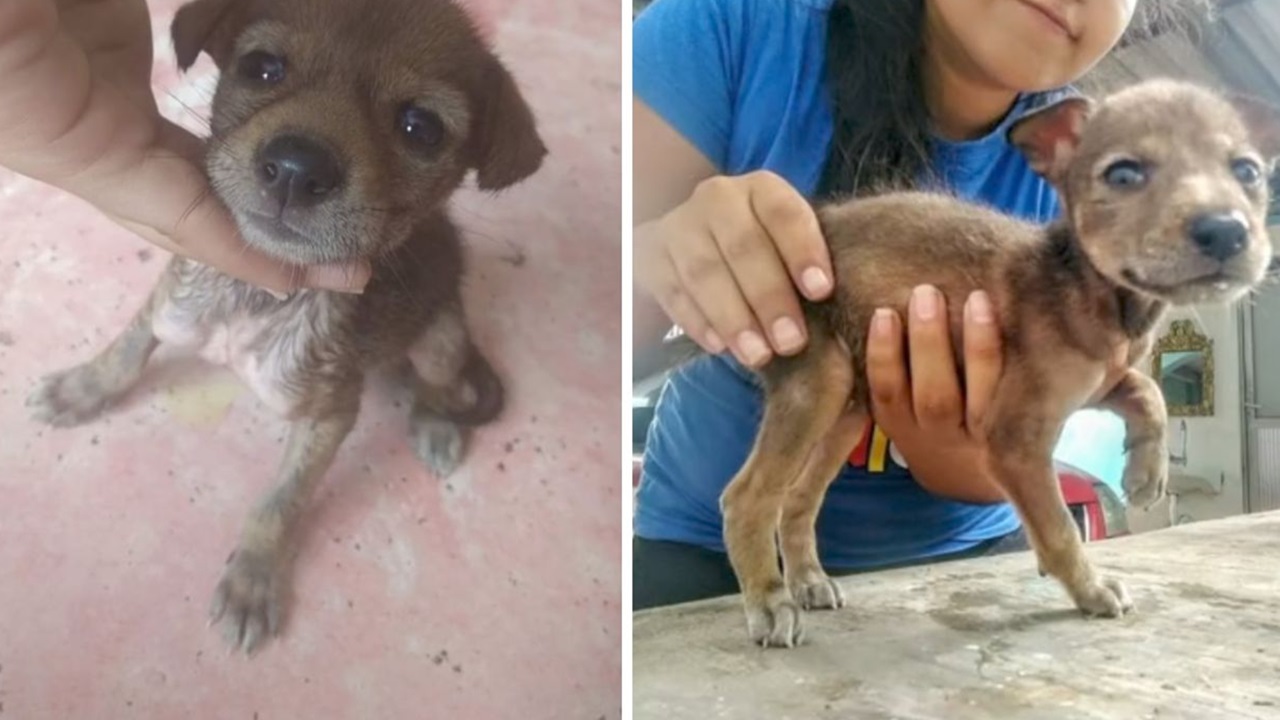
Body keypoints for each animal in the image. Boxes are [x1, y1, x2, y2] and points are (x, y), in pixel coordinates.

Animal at [26, 0, 545, 653]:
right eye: (262, 68)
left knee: (440, 381)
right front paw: (81, 389)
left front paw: (253, 577)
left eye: (421, 127)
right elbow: (126, 350)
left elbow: (281, 500)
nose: (298, 169)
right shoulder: (170, 300)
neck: (257, 296)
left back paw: (435, 423)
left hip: (441, 337)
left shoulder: (329, 414)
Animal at [721, 78, 1280, 645]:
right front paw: (1091, 589)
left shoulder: (1098, 378)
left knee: (796, 498)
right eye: (1123, 174)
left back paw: (809, 581)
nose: (1226, 231)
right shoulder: (1017, 438)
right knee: (746, 496)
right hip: (819, 383)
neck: (1091, 288)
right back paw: (770, 599)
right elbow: (1058, 528)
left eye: (1248, 172)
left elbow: (1150, 392)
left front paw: (1146, 472)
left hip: (846, 407)